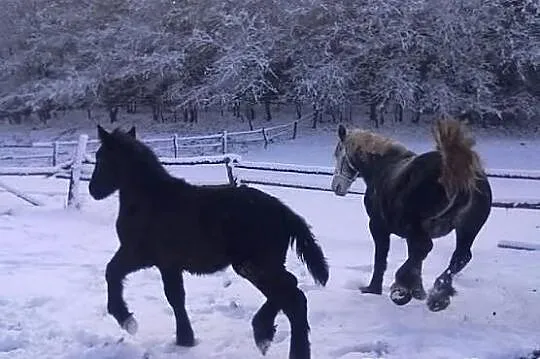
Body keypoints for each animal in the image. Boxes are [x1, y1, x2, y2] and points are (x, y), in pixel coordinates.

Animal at [87, 125, 330, 358]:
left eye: (101, 158)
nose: (93, 190)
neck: (150, 199)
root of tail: (285, 212)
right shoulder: (168, 264)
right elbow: (176, 297)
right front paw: (185, 339)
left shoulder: (138, 254)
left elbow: (112, 272)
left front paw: (127, 320)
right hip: (258, 266)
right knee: (291, 294)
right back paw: (272, 337)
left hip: (254, 265)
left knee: (292, 296)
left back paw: (267, 335)